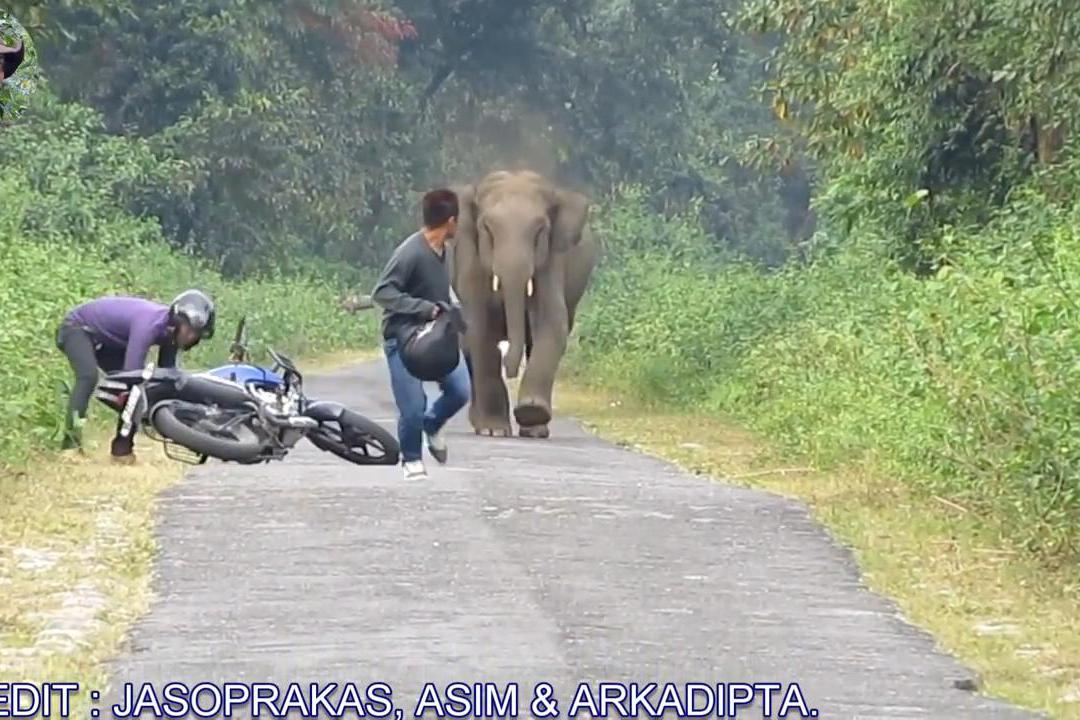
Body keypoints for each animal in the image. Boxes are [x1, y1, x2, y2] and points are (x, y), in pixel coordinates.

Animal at [449, 170, 600, 440]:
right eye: (487, 229)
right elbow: (479, 327)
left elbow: (552, 324)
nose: (510, 370)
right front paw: (494, 430)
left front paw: (531, 414)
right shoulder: (469, 257)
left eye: (540, 231)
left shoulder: (553, 259)